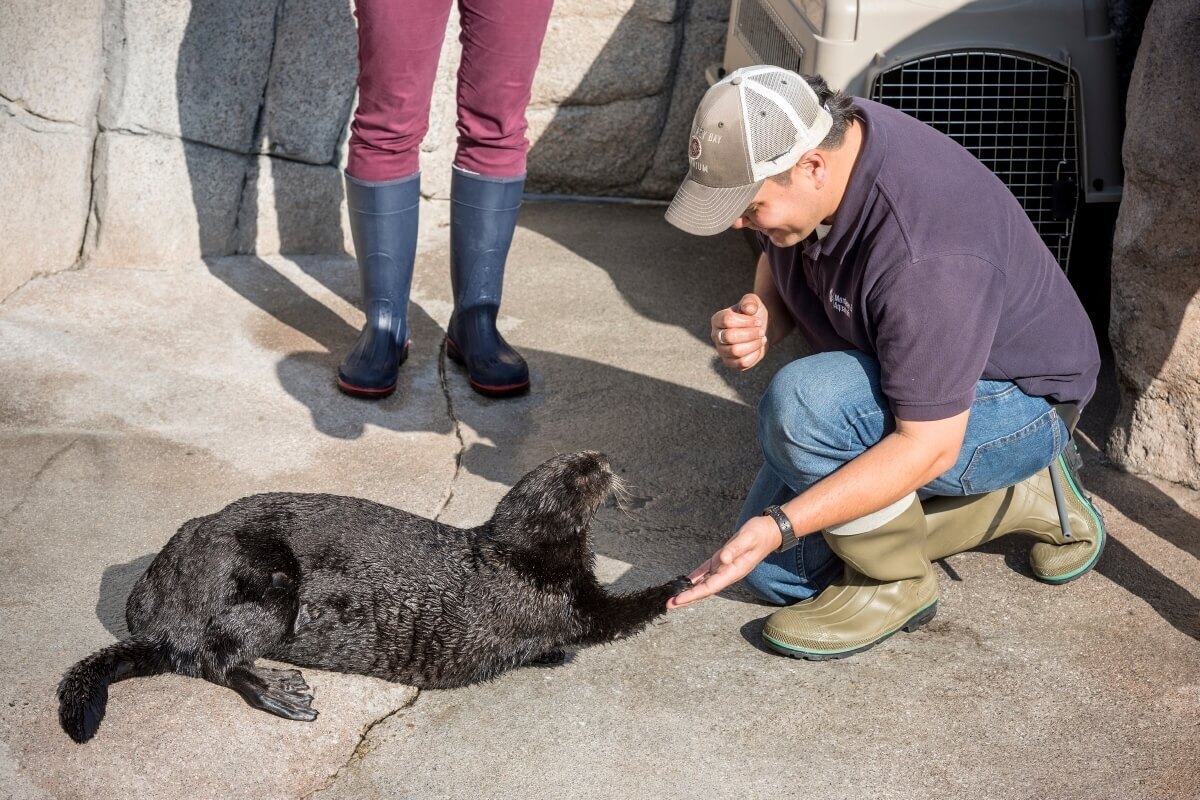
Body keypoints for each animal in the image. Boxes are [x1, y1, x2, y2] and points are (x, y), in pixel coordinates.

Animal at [58, 451, 690, 743]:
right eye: (580, 474)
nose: (602, 459)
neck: (515, 555)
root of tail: (154, 604)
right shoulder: (558, 598)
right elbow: (610, 617)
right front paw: (681, 583)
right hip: (262, 586)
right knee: (212, 658)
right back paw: (282, 691)